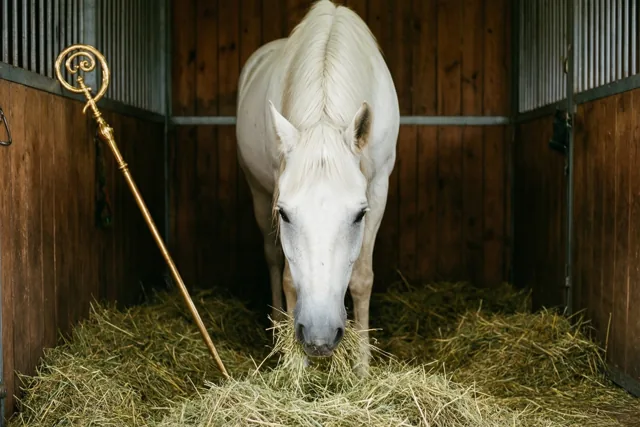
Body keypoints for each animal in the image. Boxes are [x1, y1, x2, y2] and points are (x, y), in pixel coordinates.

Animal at [235, 0, 399, 373]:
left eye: (359, 215)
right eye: (285, 215)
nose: (320, 337)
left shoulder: (378, 187)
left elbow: (362, 278)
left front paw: (362, 367)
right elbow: (288, 278)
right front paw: (296, 367)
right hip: (257, 191)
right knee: (272, 260)